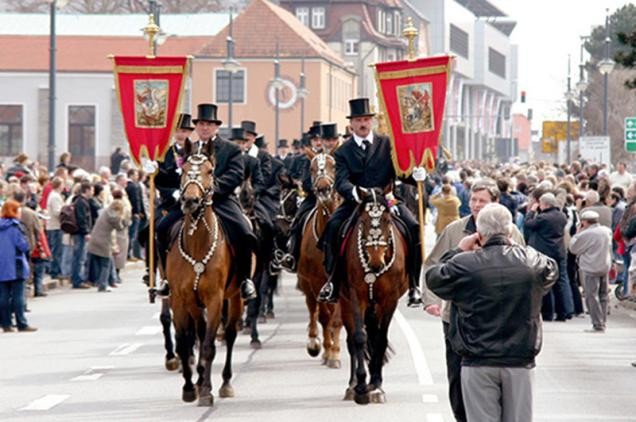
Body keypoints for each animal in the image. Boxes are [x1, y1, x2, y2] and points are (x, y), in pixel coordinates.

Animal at [165, 143, 242, 408]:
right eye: (184, 169)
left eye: (209, 171)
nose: (190, 200)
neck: (198, 244)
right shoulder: (180, 299)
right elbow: (185, 342)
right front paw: (190, 387)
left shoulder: (215, 299)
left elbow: (208, 346)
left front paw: (207, 391)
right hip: (194, 304)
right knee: (197, 332)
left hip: (235, 296)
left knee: (230, 334)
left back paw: (226, 383)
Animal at [340, 186, 410, 404]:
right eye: (362, 220)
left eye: (387, 220)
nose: (376, 260)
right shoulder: (357, 297)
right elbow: (359, 337)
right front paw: (362, 385)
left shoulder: (390, 300)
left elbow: (380, 338)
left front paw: (377, 383)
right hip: (345, 302)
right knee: (352, 339)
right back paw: (353, 384)